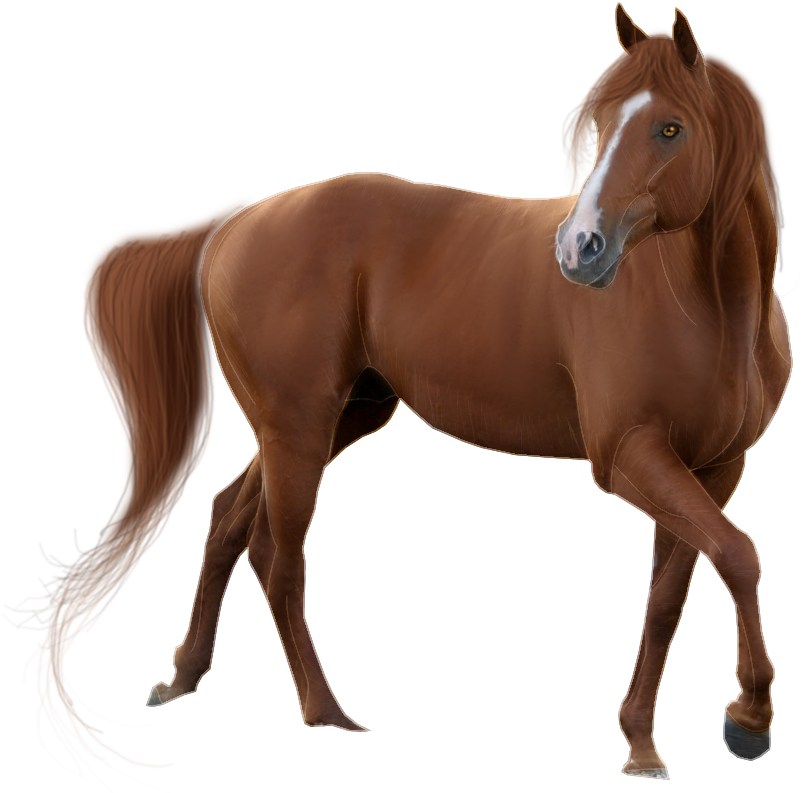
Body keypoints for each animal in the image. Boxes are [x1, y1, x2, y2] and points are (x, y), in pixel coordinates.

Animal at [12, 3, 789, 787]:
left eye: (671, 128)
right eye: (596, 129)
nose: (580, 250)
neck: (709, 310)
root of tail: (241, 220)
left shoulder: (713, 469)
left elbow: (673, 594)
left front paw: (642, 745)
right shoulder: (630, 456)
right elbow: (740, 553)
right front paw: (748, 720)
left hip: (327, 421)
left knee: (229, 517)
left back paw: (183, 677)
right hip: (299, 428)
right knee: (281, 560)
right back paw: (327, 713)